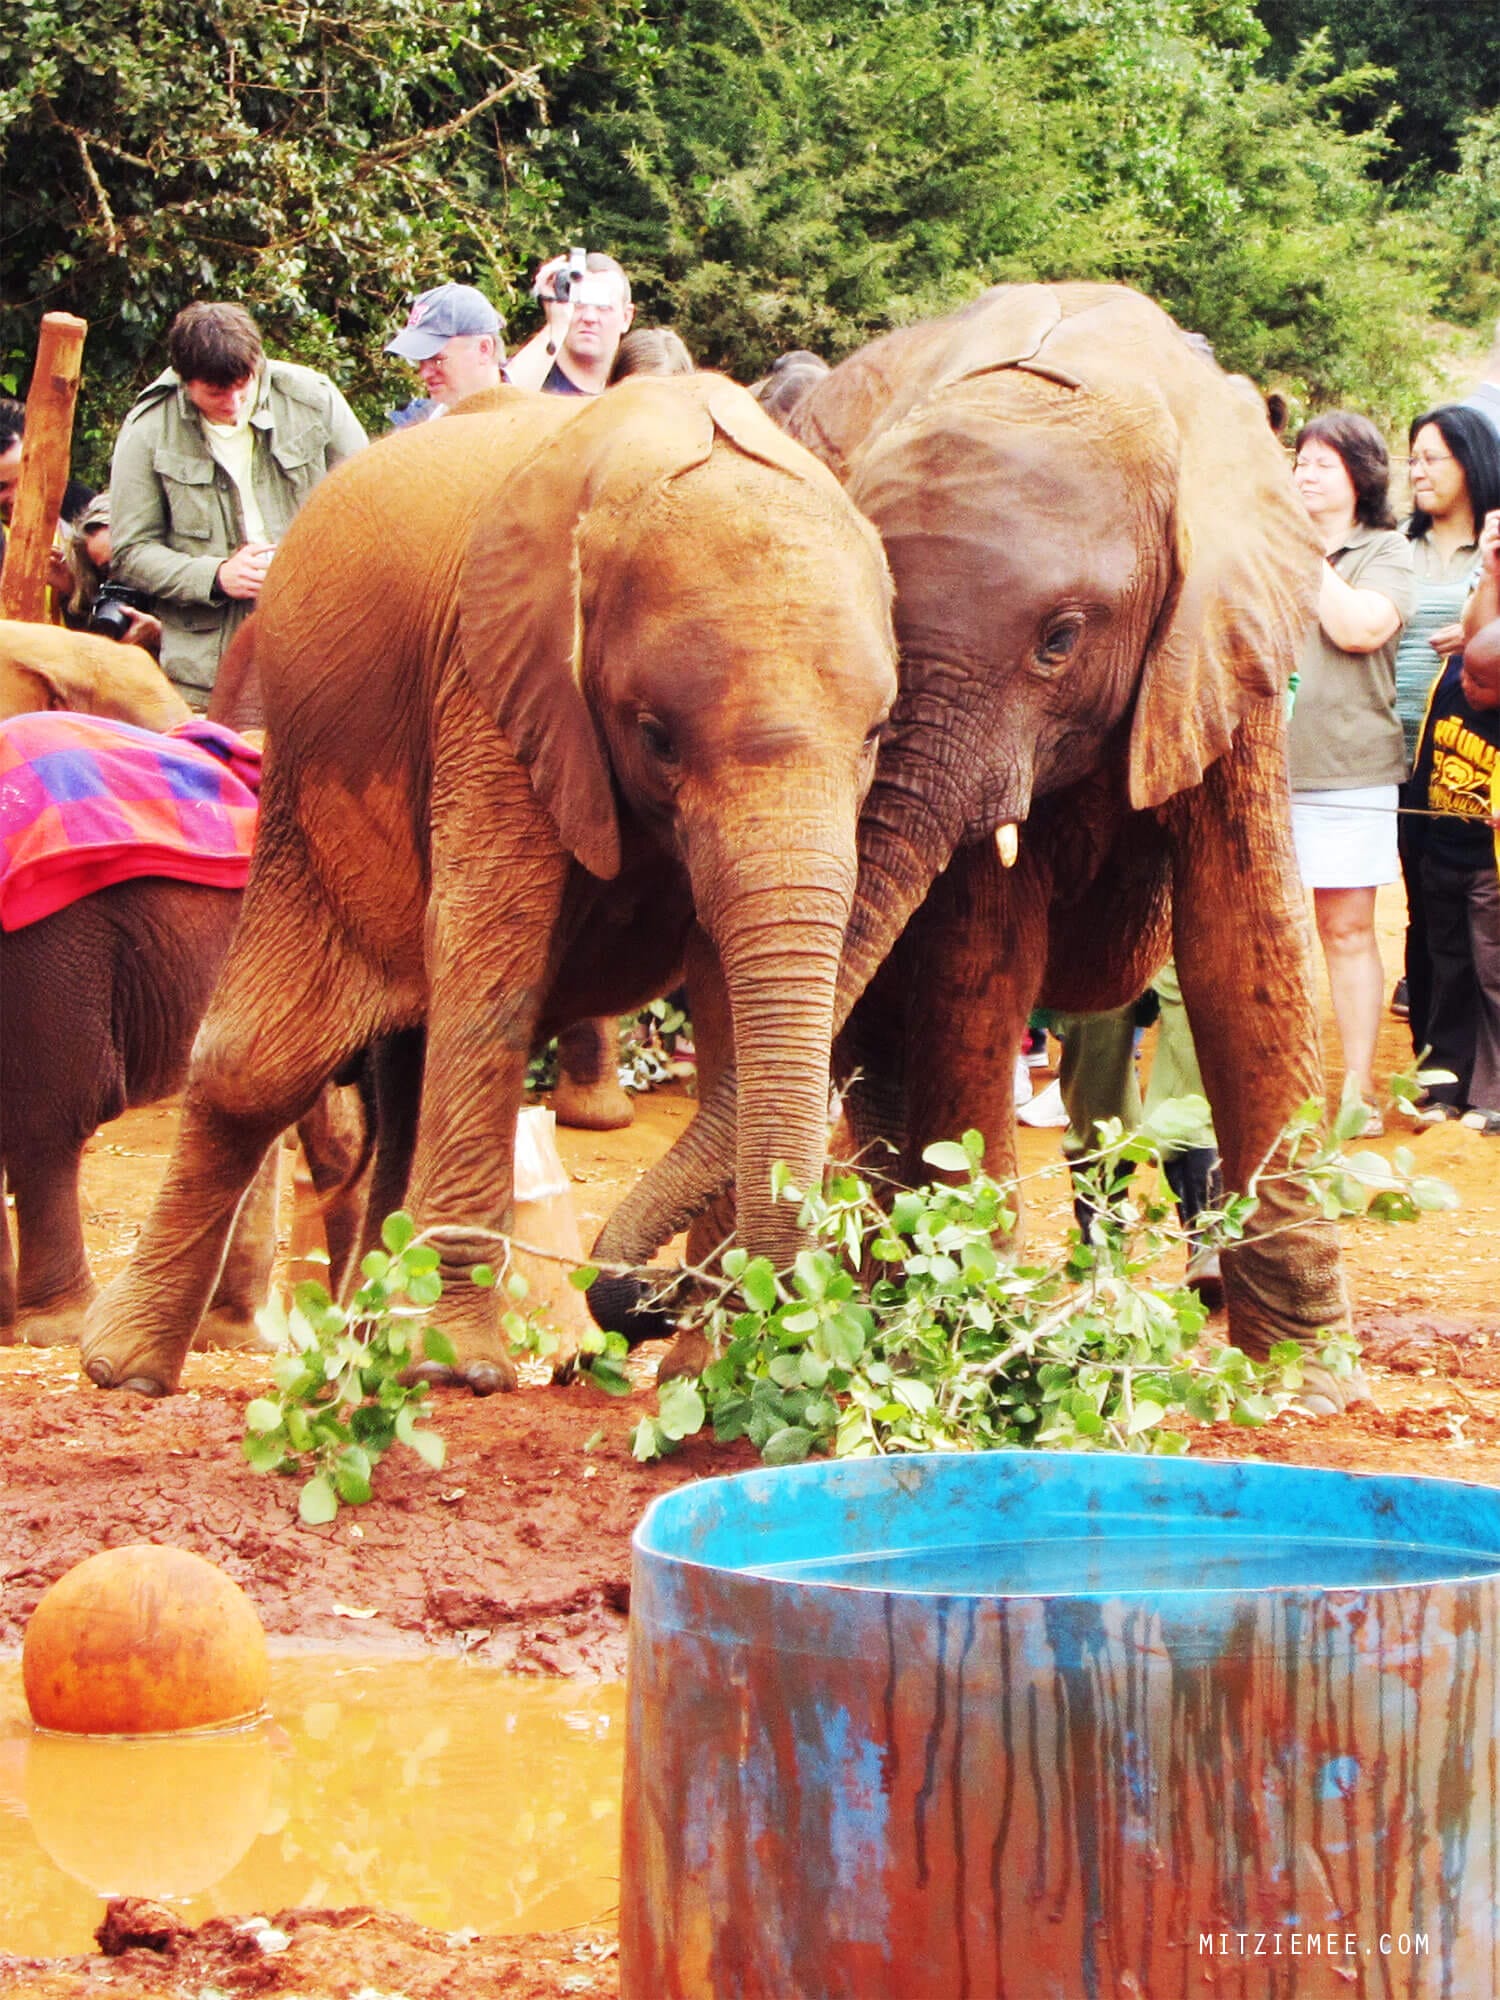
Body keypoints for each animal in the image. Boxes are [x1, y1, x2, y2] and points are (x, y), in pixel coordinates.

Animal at [78, 373, 896, 1397]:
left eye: (875, 735)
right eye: (656, 737)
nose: (618, 1324)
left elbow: (728, 995)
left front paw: (711, 1374)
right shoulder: (492, 686)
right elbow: (493, 952)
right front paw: (460, 1373)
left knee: (401, 1068)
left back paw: (362, 1353)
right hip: (300, 784)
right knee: (257, 1065)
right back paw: (129, 1370)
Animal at [588, 284, 1355, 1403]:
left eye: (1060, 639)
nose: (632, 1303)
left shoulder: (1224, 648)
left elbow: (1242, 947)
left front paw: (1302, 1376)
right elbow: (978, 967)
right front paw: (973, 1331)